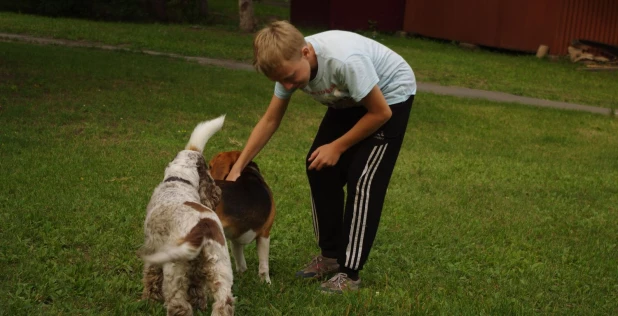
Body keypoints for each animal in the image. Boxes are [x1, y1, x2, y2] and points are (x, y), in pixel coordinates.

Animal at [140, 116, 233, 316]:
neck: (179, 180)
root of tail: (202, 228)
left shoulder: (152, 247)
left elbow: (151, 277)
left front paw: (149, 300)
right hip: (220, 269)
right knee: (223, 304)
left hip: (174, 273)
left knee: (179, 306)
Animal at [208, 151, 274, 284]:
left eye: (210, 166)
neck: (247, 172)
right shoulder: (265, 234)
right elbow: (264, 266)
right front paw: (266, 283)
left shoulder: (235, 238)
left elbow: (240, 262)